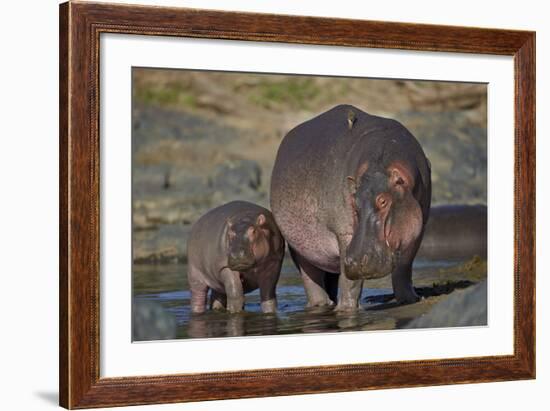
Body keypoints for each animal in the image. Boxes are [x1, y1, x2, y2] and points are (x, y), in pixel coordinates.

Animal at [274, 104, 434, 310]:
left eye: (383, 201)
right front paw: (346, 310)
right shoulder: (345, 233)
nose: (355, 261)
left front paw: (410, 299)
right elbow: (351, 282)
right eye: (353, 201)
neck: (380, 162)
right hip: (299, 246)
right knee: (311, 277)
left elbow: (405, 266)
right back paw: (321, 305)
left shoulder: (418, 228)